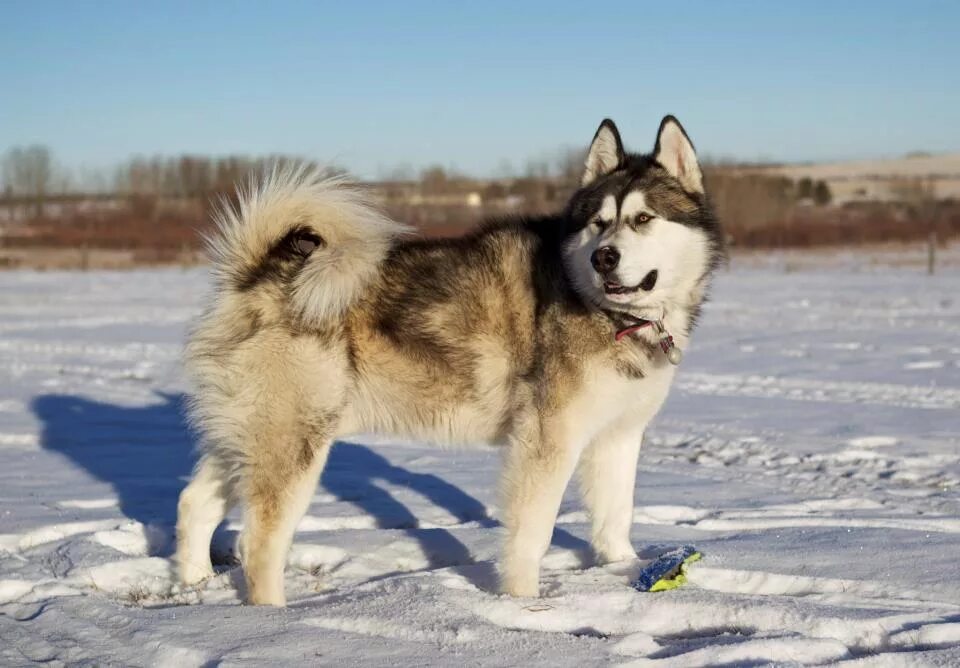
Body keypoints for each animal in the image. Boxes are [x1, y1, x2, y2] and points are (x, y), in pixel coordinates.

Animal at [176, 115, 724, 604]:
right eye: (599, 223)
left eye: (644, 219)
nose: (603, 257)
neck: (610, 313)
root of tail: (258, 274)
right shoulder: (547, 440)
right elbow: (532, 534)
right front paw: (522, 603)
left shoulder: (618, 436)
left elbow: (615, 517)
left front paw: (625, 573)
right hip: (294, 441)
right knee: (257, 542)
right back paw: (273, 618)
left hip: (249, 436)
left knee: (194, 503)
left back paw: (195, 587)